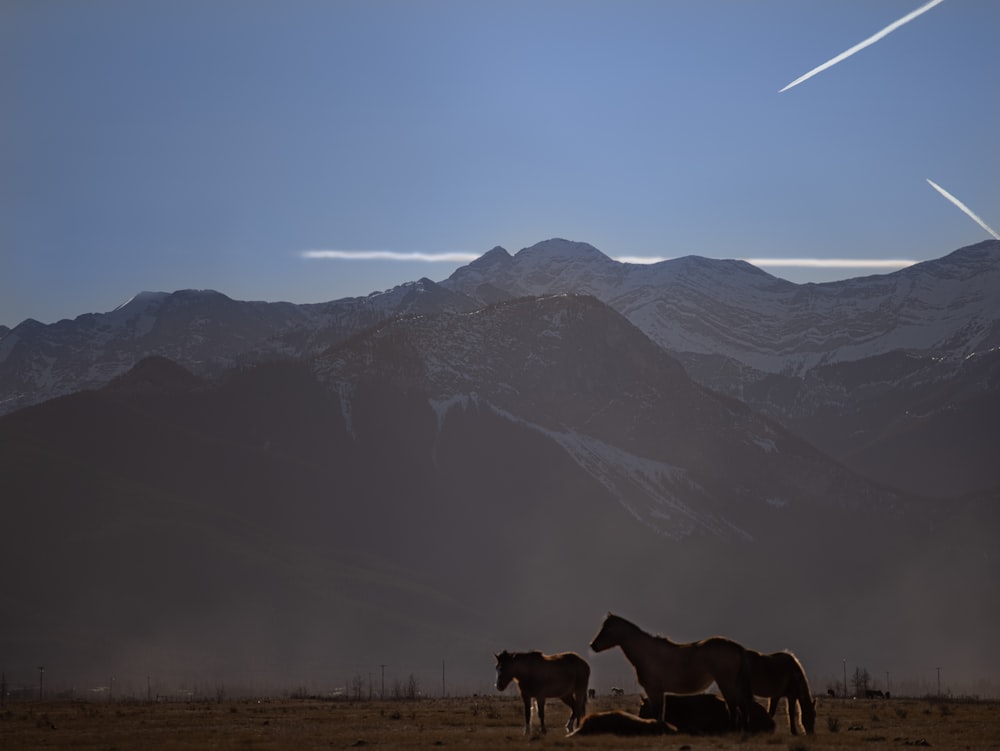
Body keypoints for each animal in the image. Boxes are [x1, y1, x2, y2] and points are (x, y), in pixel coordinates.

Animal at [588, 612, 752, 732]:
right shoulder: (660, 692)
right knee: (741, 705)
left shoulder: (653, 690)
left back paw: (732, 730)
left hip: (725, 683)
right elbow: (661, 713)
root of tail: (736, 646)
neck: (647, 653)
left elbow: (656, 712)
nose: (592, 645)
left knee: (733, 705)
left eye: (607, 628)